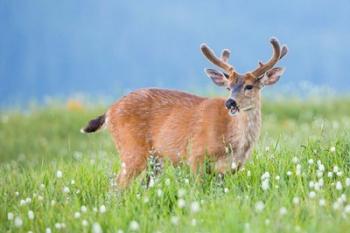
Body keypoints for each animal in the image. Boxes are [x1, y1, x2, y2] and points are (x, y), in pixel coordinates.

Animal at [81, 37, 288, 188]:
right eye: (228, 87)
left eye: (249, 86)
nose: (230, 102)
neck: (233, 142)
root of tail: (109, 111)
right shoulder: (195, 155)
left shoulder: (230, 169)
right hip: (131, 149)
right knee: (117, 186)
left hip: (155, 160)